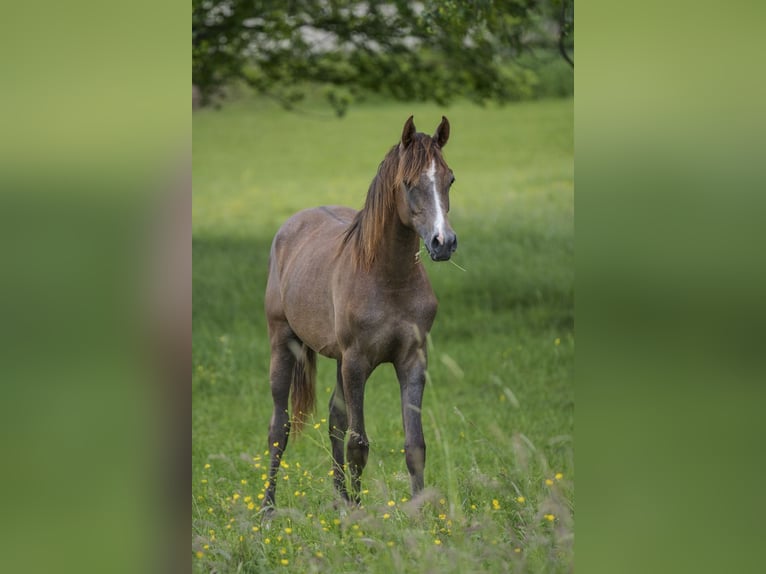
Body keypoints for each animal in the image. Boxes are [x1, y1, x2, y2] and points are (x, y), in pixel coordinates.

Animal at [261, 115, 457, 510]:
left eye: (450, 179)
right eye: (408, 183)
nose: (443, 243)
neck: (389, 278)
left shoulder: (413, 360)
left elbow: (414, 445)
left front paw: (418, 513)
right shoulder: (356, 362)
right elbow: (358, 444)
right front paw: (358, 514)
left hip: (337, 359)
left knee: (335, 420)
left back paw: (339, 500)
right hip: (283, 343)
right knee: (279, 427)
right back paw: (268, 509)